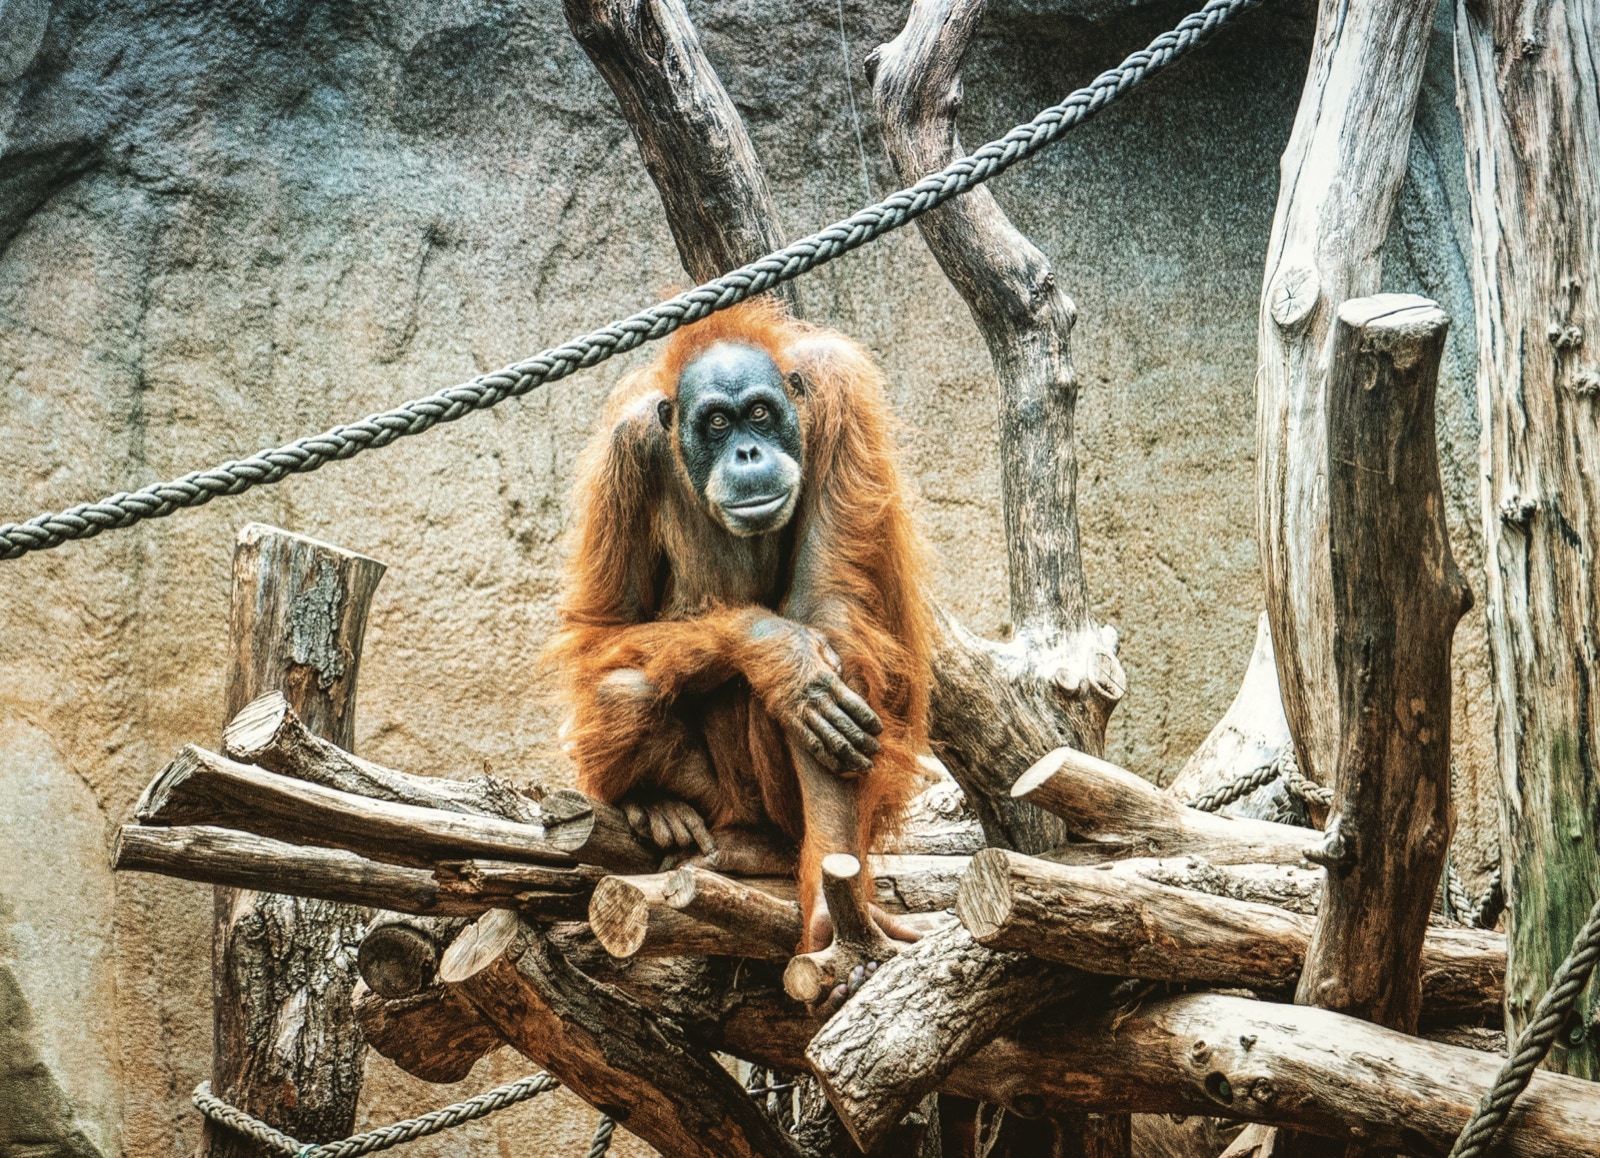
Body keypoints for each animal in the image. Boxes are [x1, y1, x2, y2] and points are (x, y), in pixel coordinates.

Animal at [546, 299, 933, 975]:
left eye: (758, 413)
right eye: (717, 423)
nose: (748, 452)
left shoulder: (841, 395)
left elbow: (825, 615)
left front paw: (832, 911)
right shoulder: (627, 446)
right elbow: (603, 629)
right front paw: (778, 653)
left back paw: (765, 850)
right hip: (717, 801)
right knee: (625, 690)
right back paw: (661, 807)